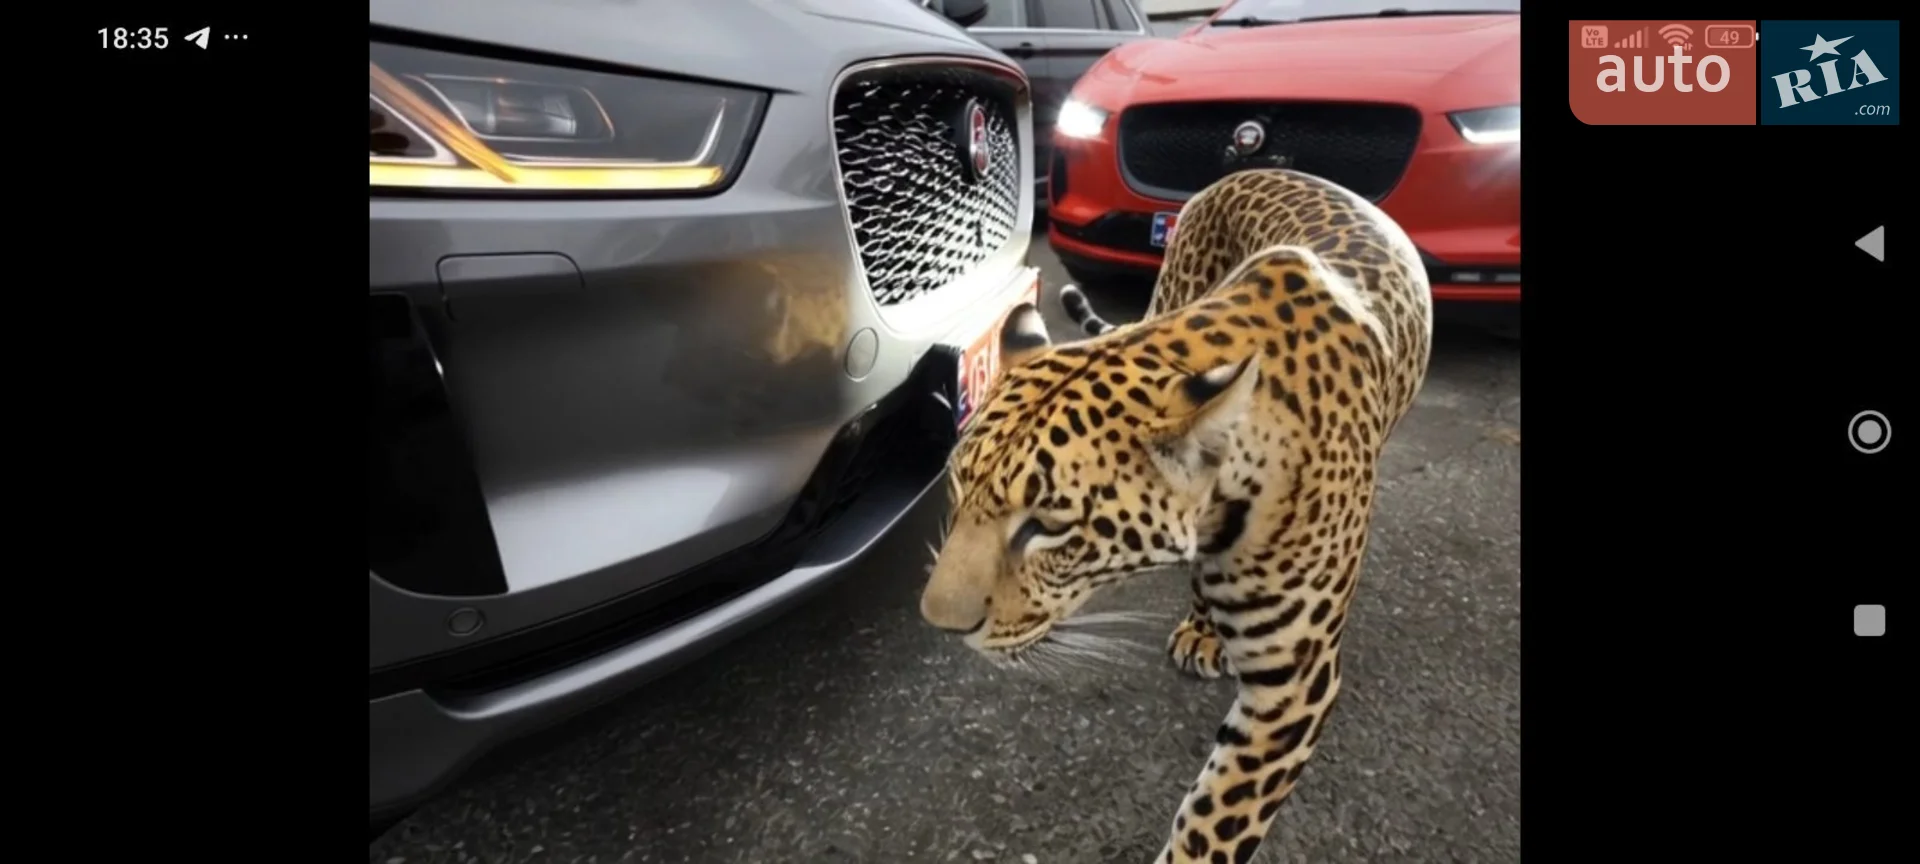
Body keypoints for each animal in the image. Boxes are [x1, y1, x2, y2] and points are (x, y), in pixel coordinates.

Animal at [917, 168, 1433, 864]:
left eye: (1048, 527)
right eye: (957, 485)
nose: (939, 626)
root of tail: (1261, 166)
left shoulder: (1295, 687)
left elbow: (1213, 826)